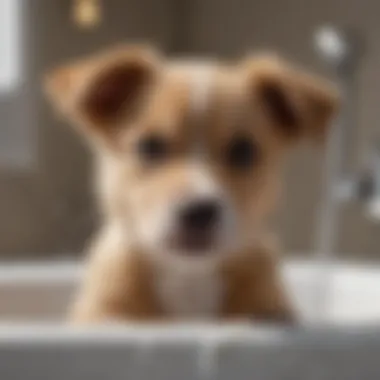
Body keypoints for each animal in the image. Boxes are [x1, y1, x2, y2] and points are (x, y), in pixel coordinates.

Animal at [44, 44, 338, 324]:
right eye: (149, 146)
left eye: (244, 151)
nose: (199, 211)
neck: (189, 275)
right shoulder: (103, 313)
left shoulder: (271, 306)